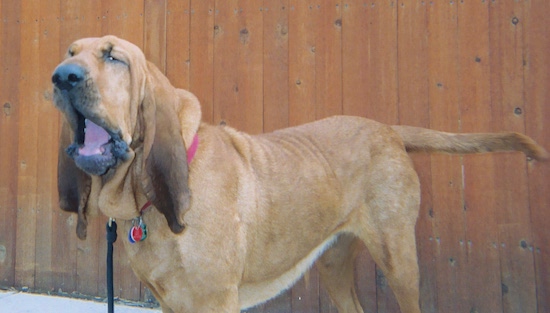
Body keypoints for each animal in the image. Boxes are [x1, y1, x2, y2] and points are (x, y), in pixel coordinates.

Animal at [50, 35, 548, 310]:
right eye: (71, 51)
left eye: (114, 57)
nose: (62, 76)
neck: (144, 203)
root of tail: (387, 129)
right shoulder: (170, 303)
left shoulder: (214, 301)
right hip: (334, 263)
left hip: (399, 260)